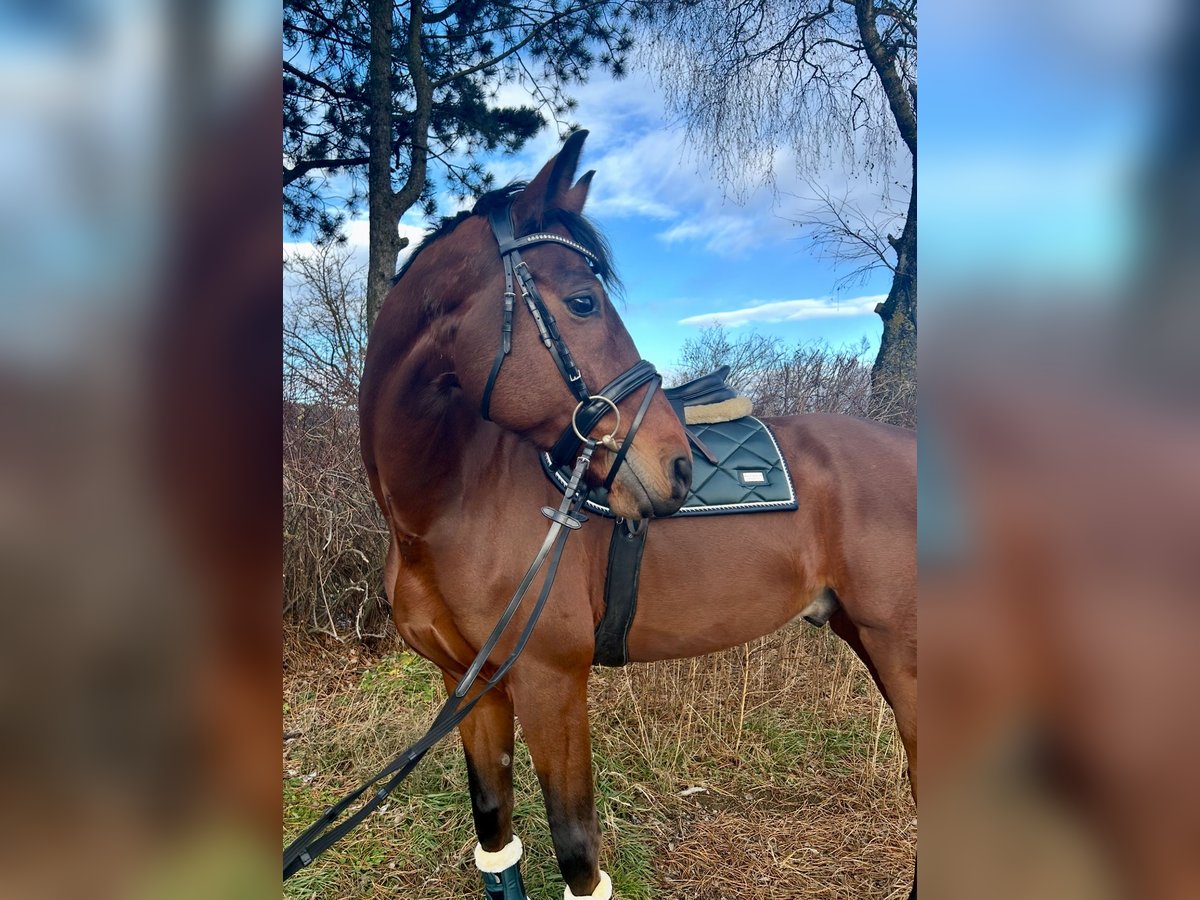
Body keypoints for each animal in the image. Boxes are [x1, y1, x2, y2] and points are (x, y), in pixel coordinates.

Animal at [357, 130, 916, 897]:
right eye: (582, 301)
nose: (678, 466)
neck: (441, 511)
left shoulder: (551, 685)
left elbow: (577, 855)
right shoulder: (467, 688)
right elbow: (496, 838)